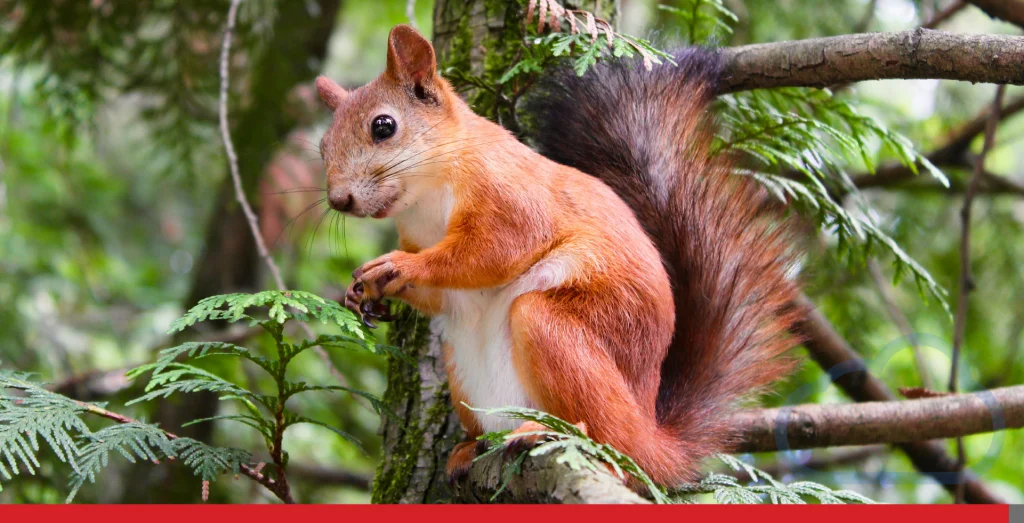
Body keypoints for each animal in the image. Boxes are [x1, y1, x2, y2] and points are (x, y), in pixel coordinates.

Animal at [315, 24, 802, 489]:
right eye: (322, 147)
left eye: (383, 126)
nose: (339, 200)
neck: (428, 195)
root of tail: (652, 437)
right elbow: (441, 294)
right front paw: (364, 294)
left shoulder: (511, 196)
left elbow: (492, 252)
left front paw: (397, 266)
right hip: (462, 368)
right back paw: (470, 448)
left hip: (560, 329)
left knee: (610, 441)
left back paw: (551, 433)